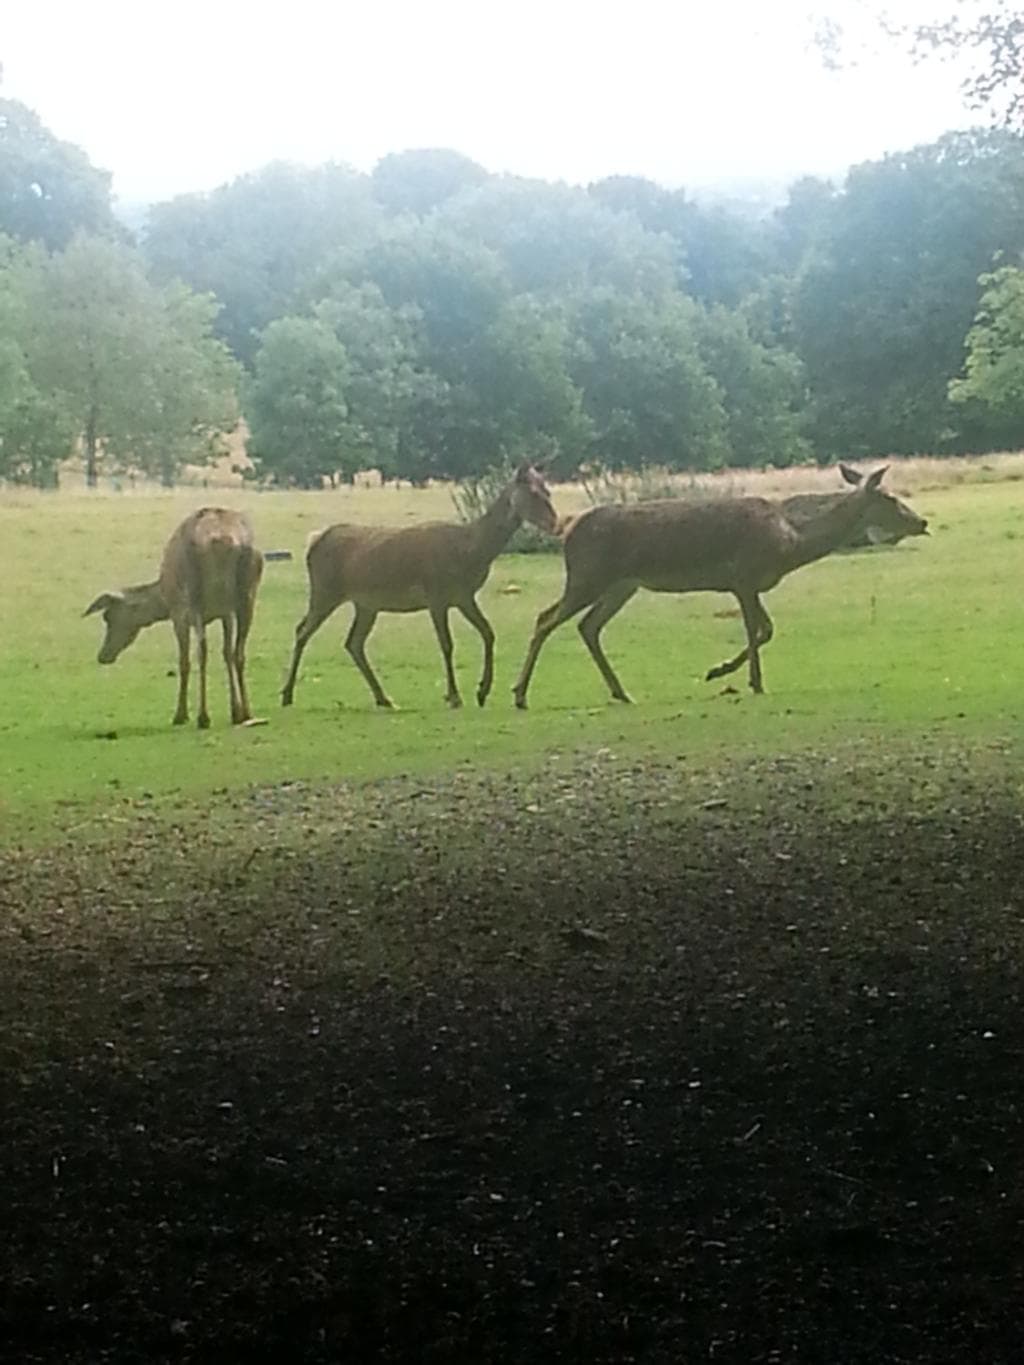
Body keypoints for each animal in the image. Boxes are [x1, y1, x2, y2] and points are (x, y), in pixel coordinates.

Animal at [84, 507, 263, 730]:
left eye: (108, 617)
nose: (103, 656)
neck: (163, 598)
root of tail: (225, 540)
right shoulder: (226, 613)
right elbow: (227, 653)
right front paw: (235, 711)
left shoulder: (179, 613)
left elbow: (184, 661)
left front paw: (181, 715)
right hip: (247, 593)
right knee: (238, 651)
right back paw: (246, 713)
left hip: (194, 596)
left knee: (201, 651)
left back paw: (203, 717)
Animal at [281, 462, 558, 711]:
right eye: (534, 493)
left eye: (548, 491)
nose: (555, 523)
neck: (471, 551)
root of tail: (314, 542)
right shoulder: (436, 595)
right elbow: (447, 644)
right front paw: (454, 697)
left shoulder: (464, 596)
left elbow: (488, 633)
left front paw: (482, 691)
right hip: (325, 590)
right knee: (302, 630)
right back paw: (286, 695)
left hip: (365, 603)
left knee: (353, 642)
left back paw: (384, 698)